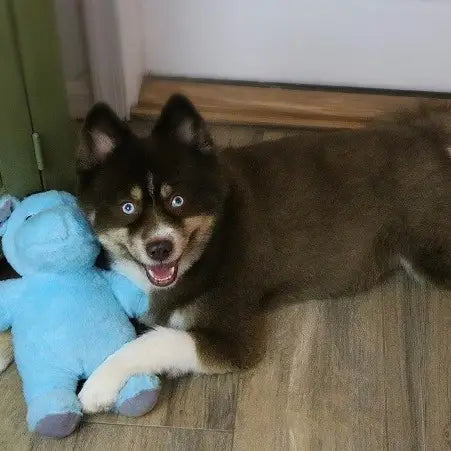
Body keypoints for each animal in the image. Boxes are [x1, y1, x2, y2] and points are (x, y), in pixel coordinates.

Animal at [76, 95, 450, 414]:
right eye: (127, 207)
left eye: (178, 201)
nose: (159, 247)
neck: (211, 241)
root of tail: (429, 140)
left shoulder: (235, 340)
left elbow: (156, 341)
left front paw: (100, 383)